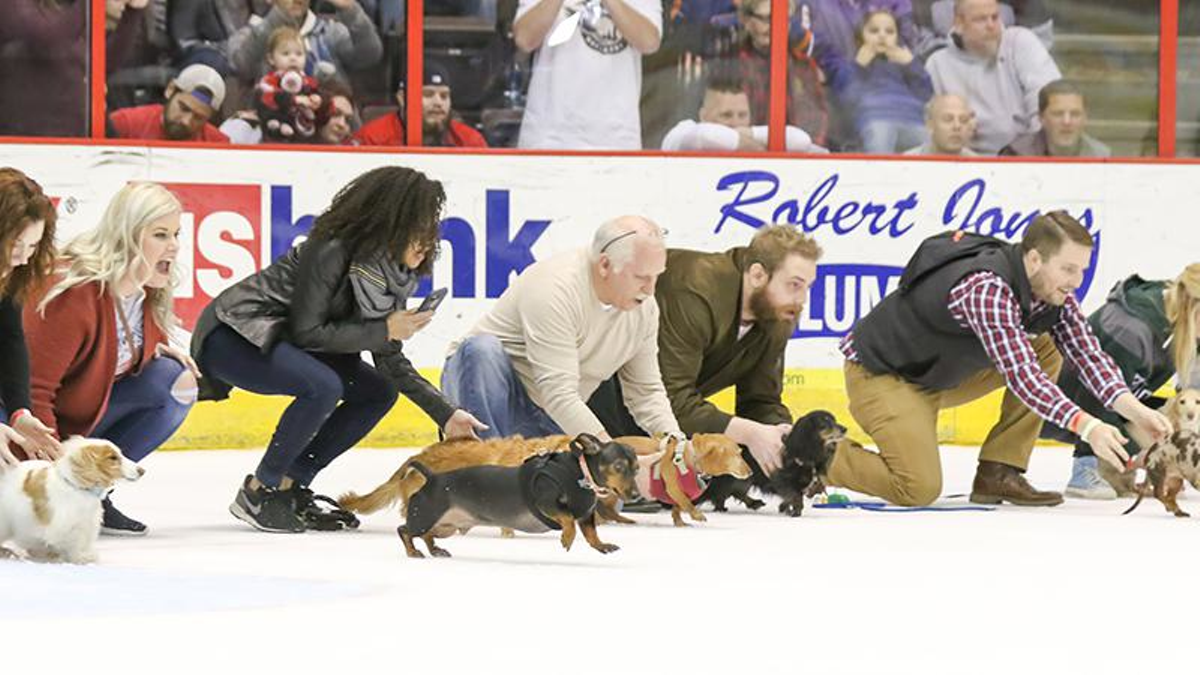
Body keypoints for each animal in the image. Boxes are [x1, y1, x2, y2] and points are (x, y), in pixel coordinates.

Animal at [0, 432, 142, 559]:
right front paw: (81, 558)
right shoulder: (66, 526)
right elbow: (71, 545)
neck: (77, 487)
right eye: (112, 458)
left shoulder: (87, 523)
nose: (142, 471)